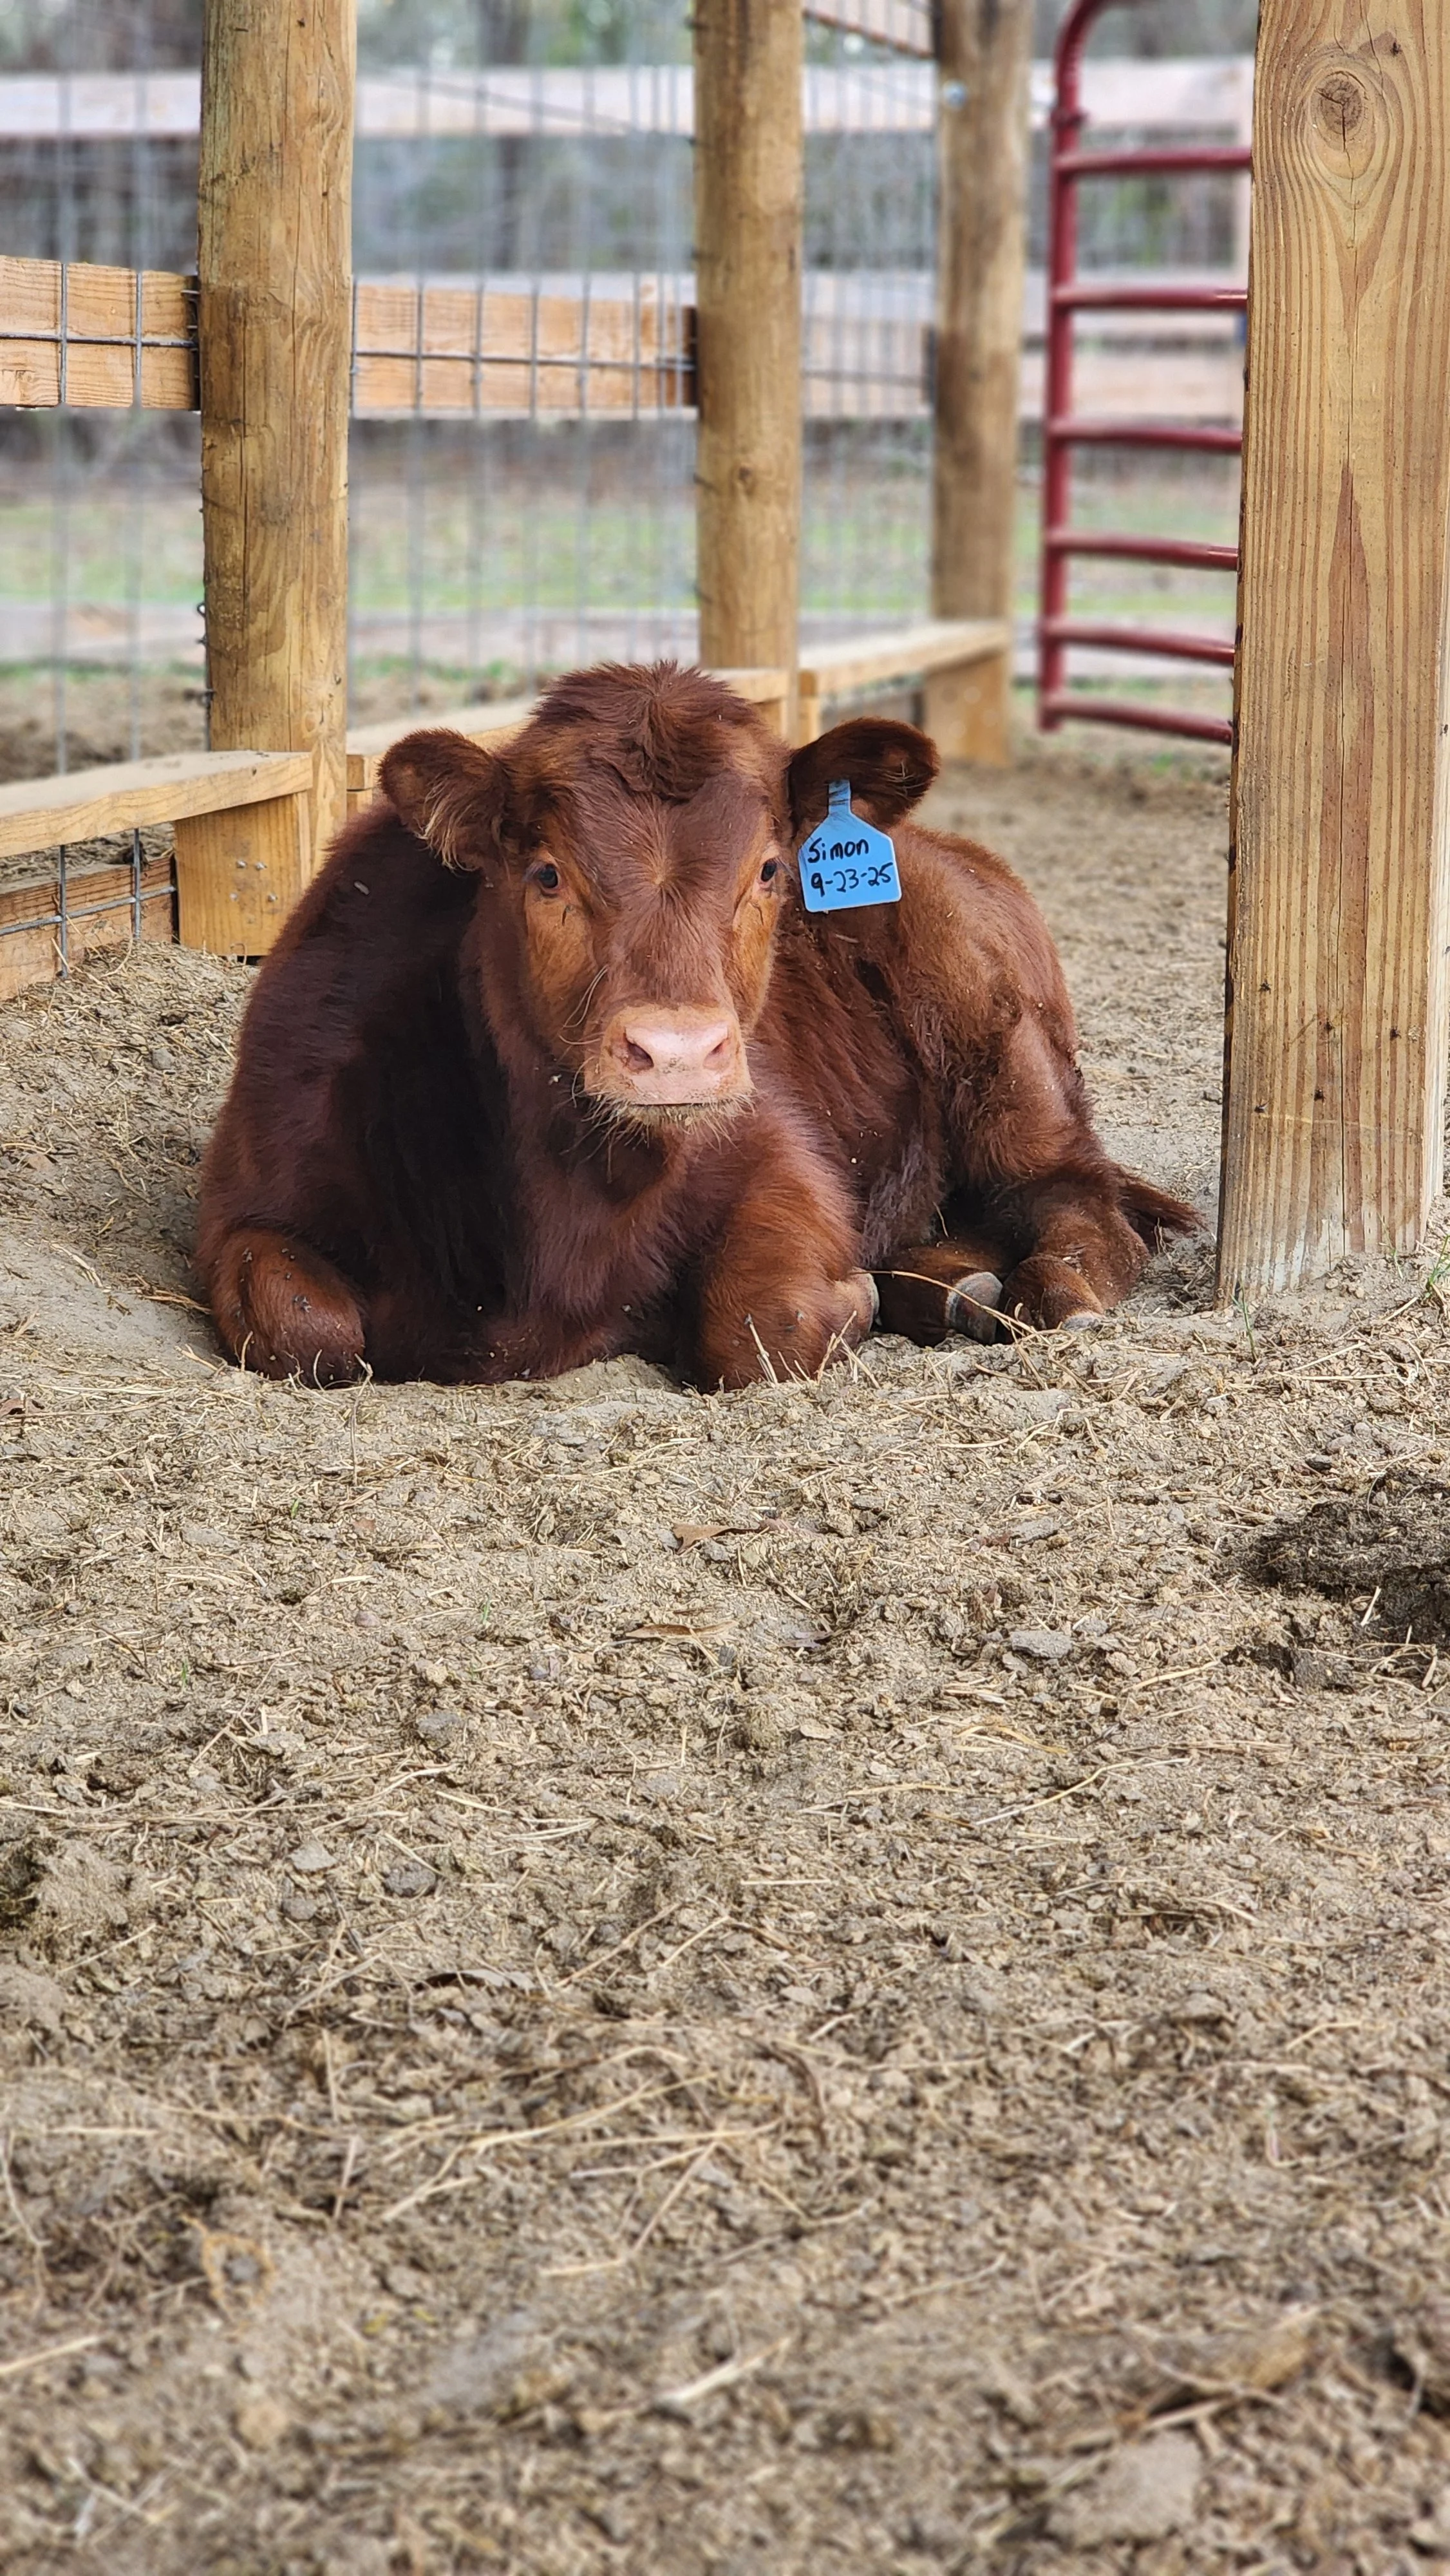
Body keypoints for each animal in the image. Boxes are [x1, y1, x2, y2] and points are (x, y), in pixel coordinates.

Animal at [198, 661, 1195, 1391]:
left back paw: (1042, 1286)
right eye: (546, 873)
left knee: (1077, 1198)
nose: (676, 1054)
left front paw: (852, 1299)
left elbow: (764, 1327)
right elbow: (306, 1331)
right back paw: (947, 1284)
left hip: (1004, 1057)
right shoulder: (251, 1205)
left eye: (768, 870)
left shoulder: (784, 1161)